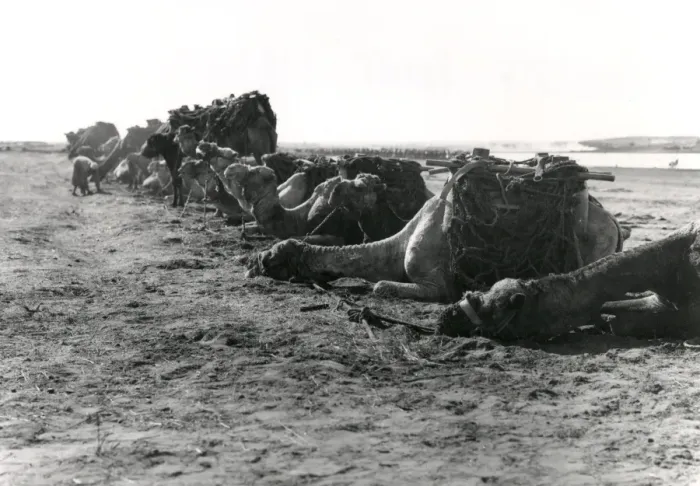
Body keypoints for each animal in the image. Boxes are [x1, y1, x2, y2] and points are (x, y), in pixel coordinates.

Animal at [247, 162, 628, 303]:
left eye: (275, 255)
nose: (253, 262)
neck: (396, 246)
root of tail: (614, 224)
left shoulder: (433, 279)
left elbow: (384, 286)